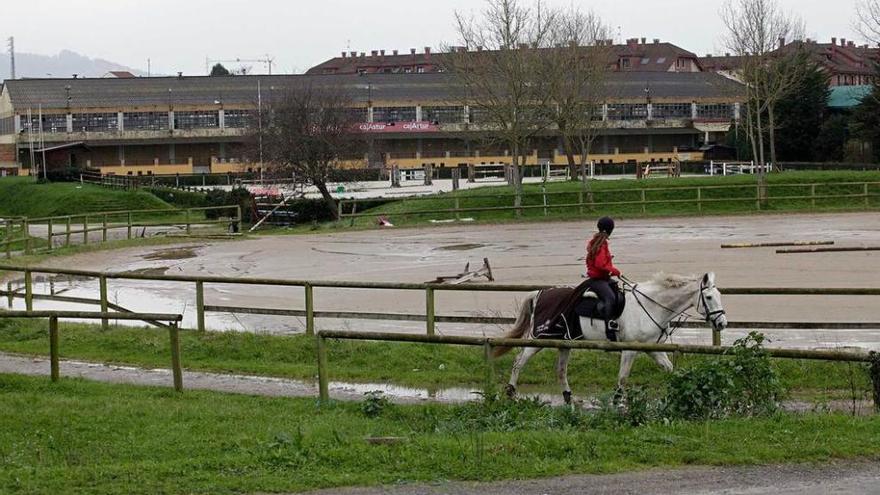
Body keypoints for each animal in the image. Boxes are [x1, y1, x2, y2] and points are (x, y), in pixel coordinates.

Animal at [496, 274, 728, 404]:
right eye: (709, 297)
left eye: (719, 296)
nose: (722, 323)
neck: (650, 305)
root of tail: (539, 293)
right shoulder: (630, 349)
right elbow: (623, 378)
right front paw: (617, 401)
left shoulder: (652, 348)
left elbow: (670, 369)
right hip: (539, 338)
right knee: (519, 362)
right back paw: (511, 391)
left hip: (564, 342)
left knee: (560, 370)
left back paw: (569, 397)